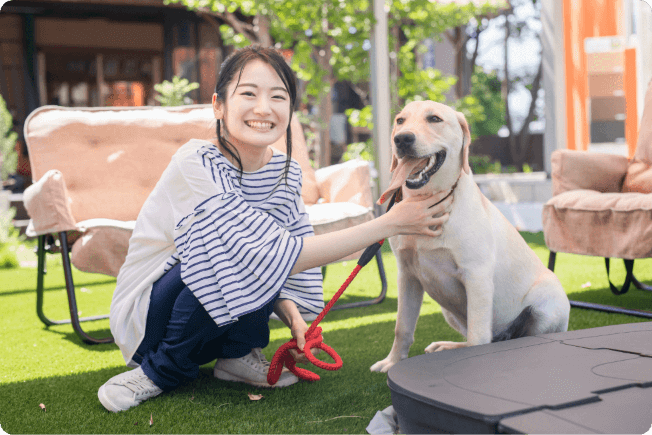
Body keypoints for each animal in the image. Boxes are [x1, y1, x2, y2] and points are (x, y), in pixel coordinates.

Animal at [372, 100, 572, 372]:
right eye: (400, 121)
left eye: (434, 119)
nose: (402, 139)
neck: (432, 203)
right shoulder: (407, 276)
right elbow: (402, 328)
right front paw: (392, 362)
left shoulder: (476, 276)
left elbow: (478, 336)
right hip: (448, 311)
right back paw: (447, 346)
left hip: (546, 302)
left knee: (511, 339)